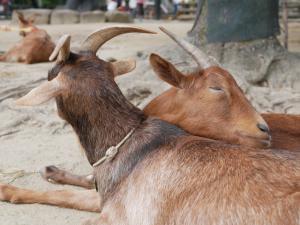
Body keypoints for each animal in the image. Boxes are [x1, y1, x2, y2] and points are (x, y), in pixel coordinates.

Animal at [0, 26, 300, 225]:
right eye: (217, 87)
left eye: (52, 75)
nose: (264, 129)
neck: (133, 140)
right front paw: (12, 189)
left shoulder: (118, 214)